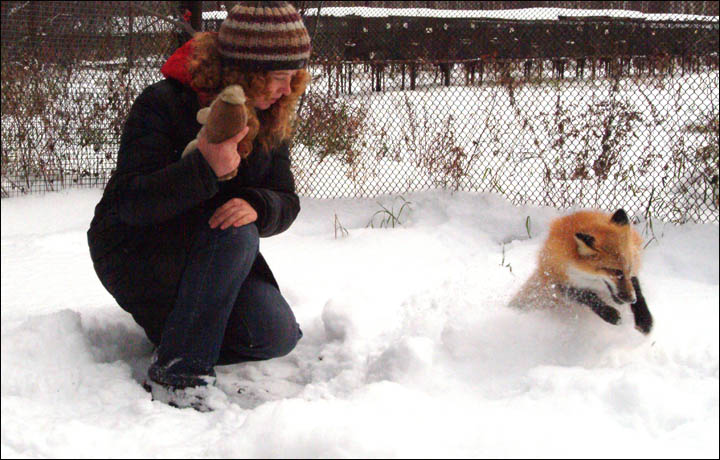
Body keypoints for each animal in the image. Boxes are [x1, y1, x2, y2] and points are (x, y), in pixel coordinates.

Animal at [510, 209, 656, 334]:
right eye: (616, 272)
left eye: (629, 269)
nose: (631, 300)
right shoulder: (558, 279)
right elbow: (587, 295)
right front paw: (609, 314)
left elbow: (638, 291)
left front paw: (644, 319)